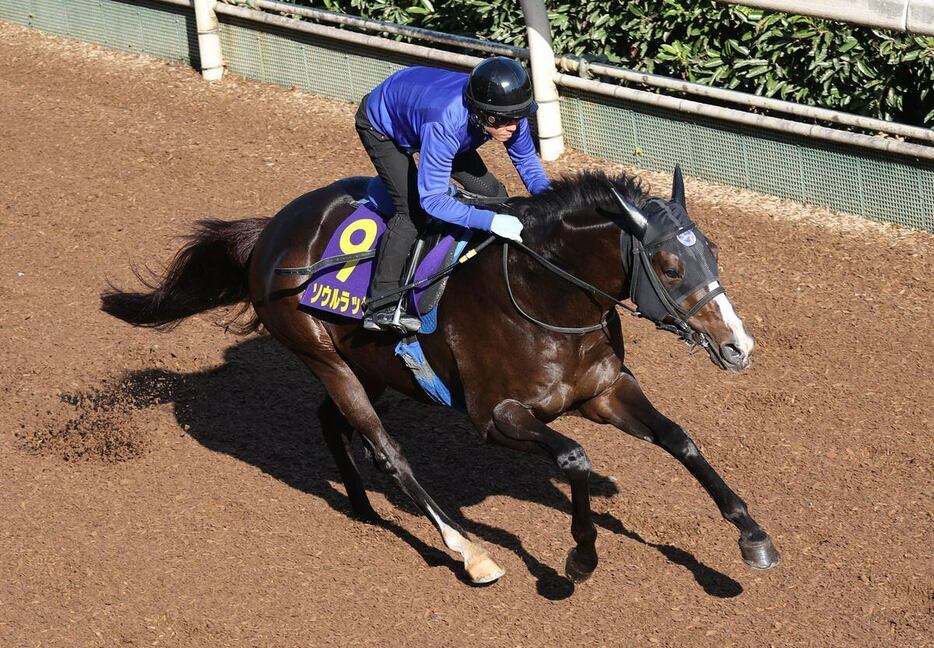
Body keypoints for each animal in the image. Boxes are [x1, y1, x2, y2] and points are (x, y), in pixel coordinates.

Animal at [100, 168, 784, 588]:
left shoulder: (603, 391)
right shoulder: (497, 417)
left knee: (335, 423)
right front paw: (581, 554)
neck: (545, 294)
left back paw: (360, 505)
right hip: (322, 354)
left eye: (713, 252)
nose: (739, 346)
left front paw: (752, 536)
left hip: (366, 365)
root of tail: (268, 230)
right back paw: (467, 550)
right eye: (668, 265)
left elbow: (680, 439)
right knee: (387, 449)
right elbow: (574, 458)